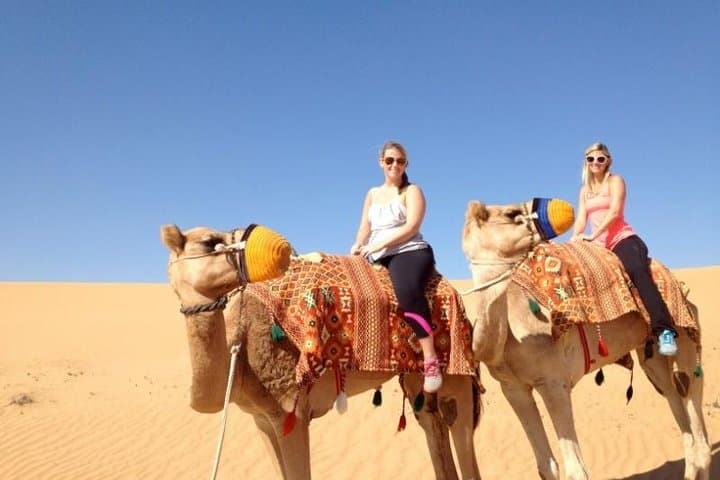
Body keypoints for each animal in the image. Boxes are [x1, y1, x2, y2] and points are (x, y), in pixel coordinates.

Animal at [161, 223, 482, 480]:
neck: (239, 358)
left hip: (456, 372)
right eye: (209, 242)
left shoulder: (290, 410)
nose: (274, 247)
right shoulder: (261, 419)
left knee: (461, 432)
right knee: (432, 423)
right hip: (417, 381)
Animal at [461, 199, 711, 480]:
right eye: (511, 214)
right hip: (652, 358)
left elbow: (575, 469)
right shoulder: (513, 388)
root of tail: (679, 285)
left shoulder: (553, 382)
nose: (563, 210)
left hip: (686, 336)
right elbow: (546, 465)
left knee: (695, 412)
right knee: (677, 406)